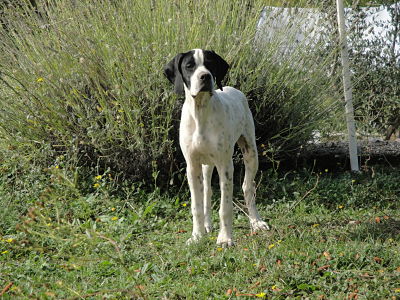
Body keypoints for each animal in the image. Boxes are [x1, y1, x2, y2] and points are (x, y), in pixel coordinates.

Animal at [162, 49, 268, 246]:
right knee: (207, 192)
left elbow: (225, 207)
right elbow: (196, 206)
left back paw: (256, 221)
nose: (205, 76)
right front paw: (197, 236)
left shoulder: (225, 166)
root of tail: (233, 89)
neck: (201, 113)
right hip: (206, 165)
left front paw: (225, 238)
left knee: (248, 187)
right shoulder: (192, 166)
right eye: (189, 66)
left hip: (251, 153)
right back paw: (206, 225)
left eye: (210, 64)